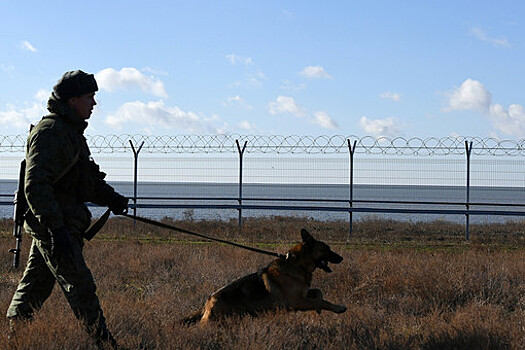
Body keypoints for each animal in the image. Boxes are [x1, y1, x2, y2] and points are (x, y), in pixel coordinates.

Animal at [182, 228, 346, 324]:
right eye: (327, 249)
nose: (341, 258)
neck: (297, 264)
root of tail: (208, 301)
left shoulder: (303, 295)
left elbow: (319, 293)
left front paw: (319, 307)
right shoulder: (298, 301)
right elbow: (323, 302)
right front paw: (337, 308)